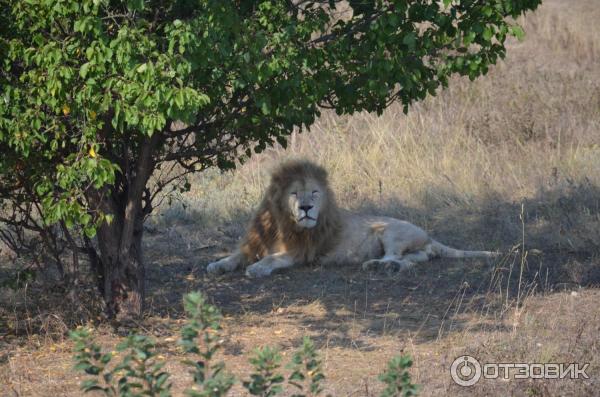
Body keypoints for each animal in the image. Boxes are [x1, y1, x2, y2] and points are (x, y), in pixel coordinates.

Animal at [206, 159, 496, 276]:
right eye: (294, 193)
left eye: (314, 192)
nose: (306, 208)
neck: (280, 223)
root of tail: (429, 236)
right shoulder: (253, 244)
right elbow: (235, 255)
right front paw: (218, 265)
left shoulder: (301, 253)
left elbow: (272, 258)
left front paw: (257, 268)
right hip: (414, 250)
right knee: (411, 262)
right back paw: (387, 267)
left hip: (391, 231)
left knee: (395, 255)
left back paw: (377, 265)